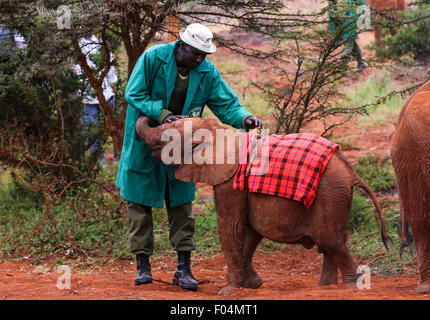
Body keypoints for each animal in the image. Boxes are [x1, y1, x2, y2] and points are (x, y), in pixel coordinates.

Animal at [136, 116, 392, 296]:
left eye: (168, 136)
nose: (158, 114)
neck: (217, 130)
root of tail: (352, 172)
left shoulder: (229, 181)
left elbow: (232, 228)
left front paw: (228, 291)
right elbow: (249, 232)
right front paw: (253, 285)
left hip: (330, 195)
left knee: (332, 243)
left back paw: (349, 288)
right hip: (334, 196)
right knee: (329, 245)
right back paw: (324, 288)